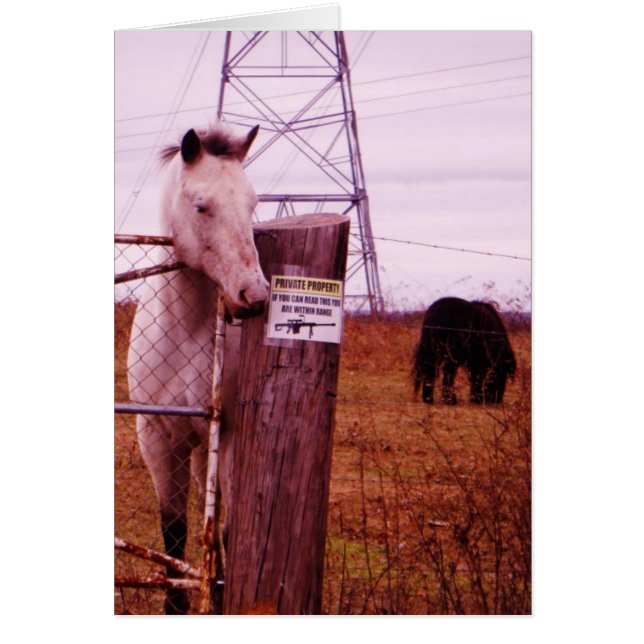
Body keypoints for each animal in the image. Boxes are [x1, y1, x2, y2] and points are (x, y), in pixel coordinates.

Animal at [127, 124, 269, 614]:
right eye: (201, 205)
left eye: (252, 203)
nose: (254, 295)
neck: (186, 329)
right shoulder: (156, 437)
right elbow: (174, 532)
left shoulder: (228, 436)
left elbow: (224, 526)